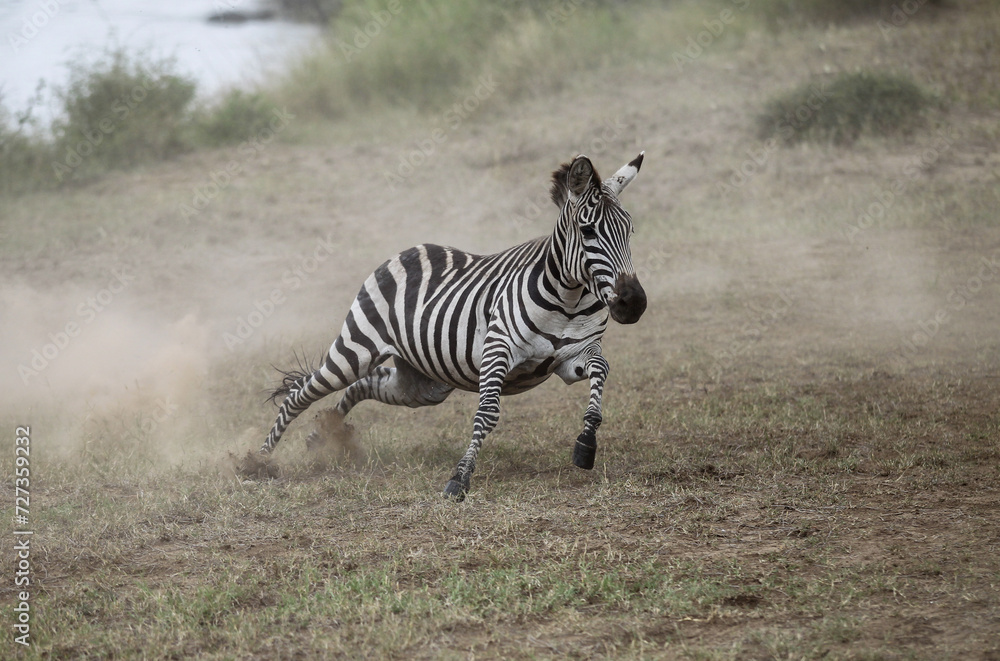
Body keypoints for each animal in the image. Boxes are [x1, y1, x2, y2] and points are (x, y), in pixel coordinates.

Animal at [261, 152, 647, 500]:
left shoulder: (573, 358)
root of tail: (404, 251)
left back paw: (323, 433)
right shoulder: (497, 350)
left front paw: (586, 442)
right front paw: (459, 478)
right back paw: (259, 461)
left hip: (423, 383)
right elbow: (487, 413)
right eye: (588, 230)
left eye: (630, 230)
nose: (633, 303)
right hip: (356, 349)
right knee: (301, 393)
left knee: (367, 383)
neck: (568, 299)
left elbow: (601, 368)